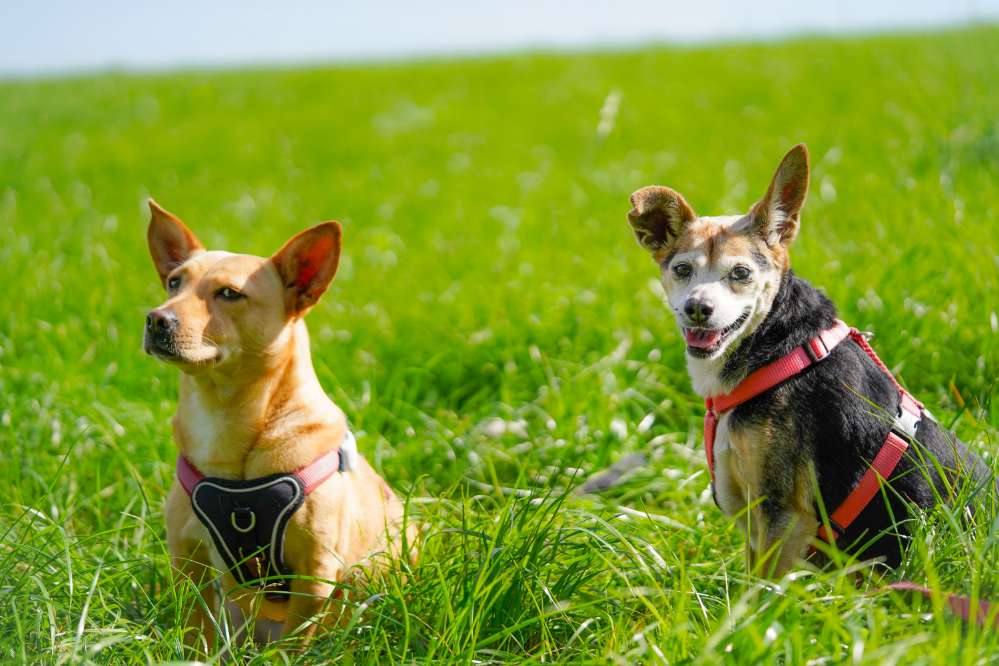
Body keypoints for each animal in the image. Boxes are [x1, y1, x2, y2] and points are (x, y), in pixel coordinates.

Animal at [144, 200, 414, 644]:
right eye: (173, 283)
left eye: (229, 294)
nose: (156, 319)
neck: (223, 415)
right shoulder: (187, 560)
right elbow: (196, 632)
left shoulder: (314, 573)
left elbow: (292, 645)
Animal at [628, 147, 996, 576]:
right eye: (682, 269)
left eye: (740, 273)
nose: (698, 309)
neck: (773, 344)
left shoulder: (782, 514)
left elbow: (759, 589)